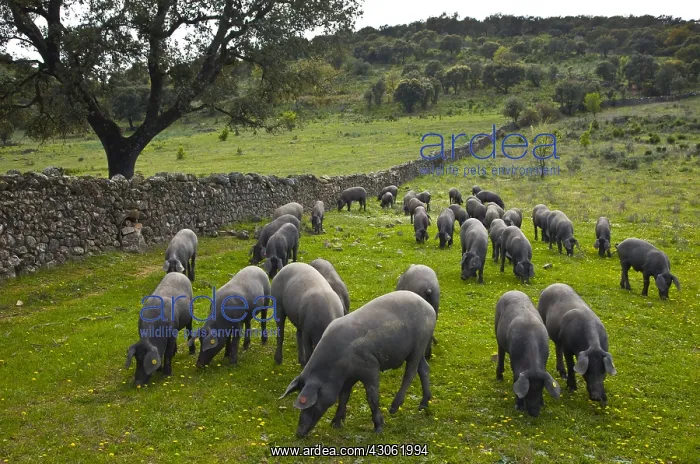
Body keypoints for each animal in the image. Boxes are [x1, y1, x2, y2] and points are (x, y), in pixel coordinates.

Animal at [278, 291, 435, 437]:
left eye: (311, 404)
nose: (299, 433)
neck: (336, 366)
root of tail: (430, 308)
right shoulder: (348, 377)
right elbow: (343, 396)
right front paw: (335, 425)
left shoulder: (371, 367)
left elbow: (372, 397)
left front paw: (378, 429)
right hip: (417, 349)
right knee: (424, 369)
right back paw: (423, 405)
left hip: (419, 344)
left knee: (411, 372)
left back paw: (393, 409)